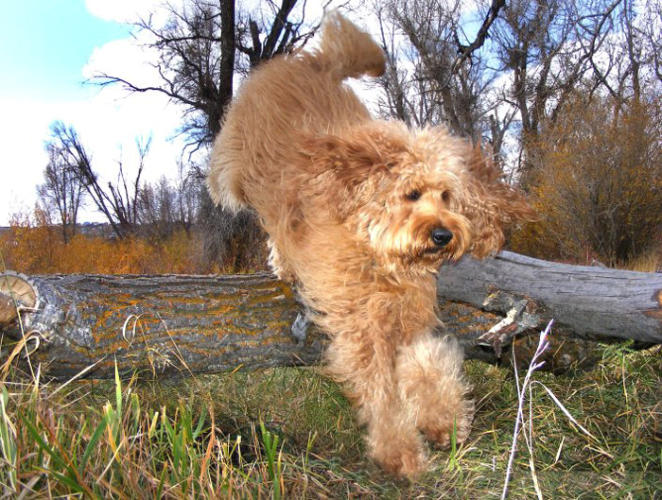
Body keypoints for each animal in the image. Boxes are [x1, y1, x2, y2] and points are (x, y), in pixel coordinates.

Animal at [210, 12, 532, 476]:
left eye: (447, 196)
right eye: (412, 193)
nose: (444, 235)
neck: (380, 254)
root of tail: (312, 64)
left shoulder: (408, 314)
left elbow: (426, 360)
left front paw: (442, 418)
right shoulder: (361, 327)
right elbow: (381, 390)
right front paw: (400, 450)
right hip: (236, 166)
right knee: (242, 198)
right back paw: (281, 258)